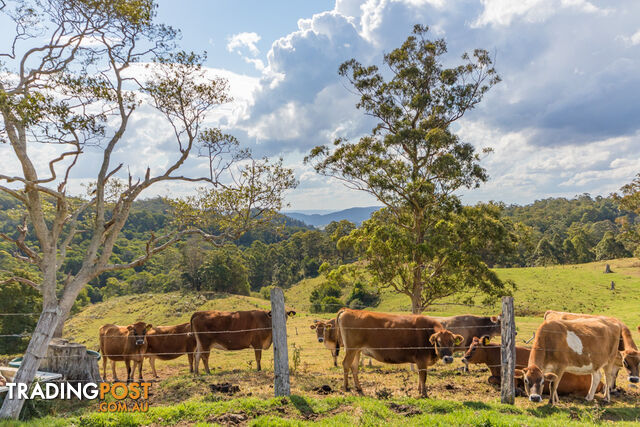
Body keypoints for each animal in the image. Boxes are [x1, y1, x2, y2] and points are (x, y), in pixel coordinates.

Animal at [462, 338, 604, 398]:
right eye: (469, 346)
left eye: (474, 348)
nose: (464, 358)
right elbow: (490, 378)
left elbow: (493, 379)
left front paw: (519, 391)